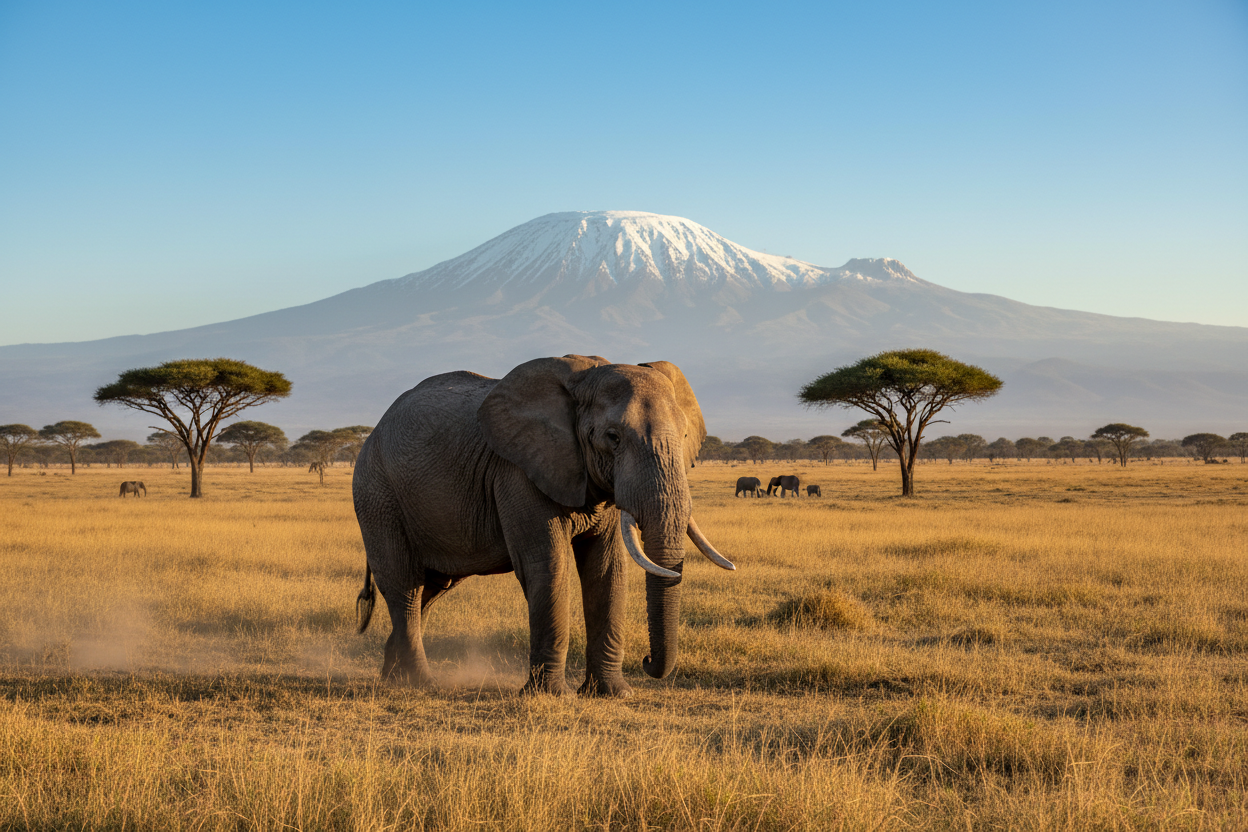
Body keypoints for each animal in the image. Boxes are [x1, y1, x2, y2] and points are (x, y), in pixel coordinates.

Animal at [352, 354, 736, 697]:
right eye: (613, 437)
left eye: (684, 436)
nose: (646, 661)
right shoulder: (517, 472)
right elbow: (549, 565)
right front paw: (553, 695)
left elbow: (606, 569)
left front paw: (614, 694)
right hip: (377, 494)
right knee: (405, 586)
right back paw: (418, 683)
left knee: (430, 589)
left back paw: (392, 676)